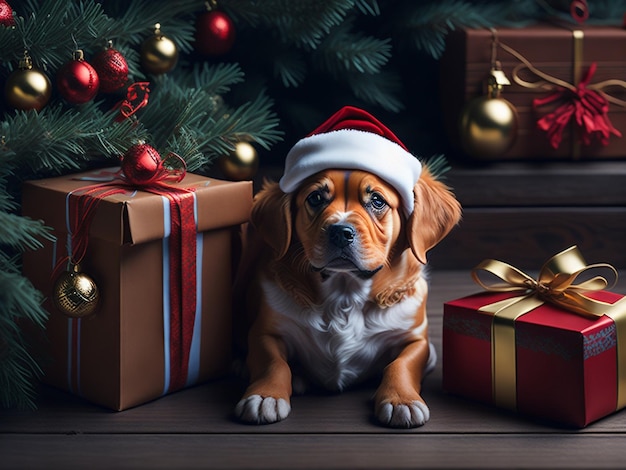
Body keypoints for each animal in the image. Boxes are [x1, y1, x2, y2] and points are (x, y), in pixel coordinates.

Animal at [232, 160, 460, 428]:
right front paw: (264, 396)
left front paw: (401, 400)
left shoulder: (415, 339)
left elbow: (402, 364)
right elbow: (273, 363)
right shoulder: (266, 331)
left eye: (377, 201)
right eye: (315, 198)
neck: (345, 293)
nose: (340, 232)